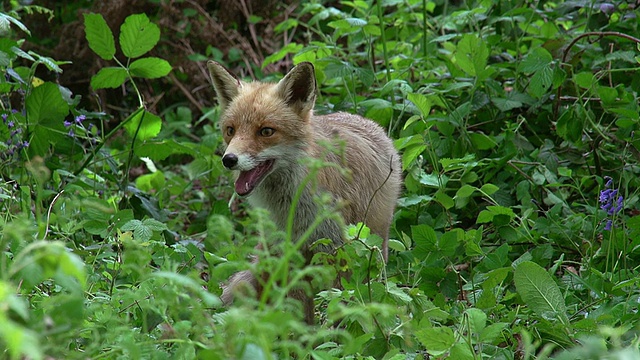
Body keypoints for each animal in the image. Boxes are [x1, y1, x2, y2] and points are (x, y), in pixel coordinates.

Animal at [209, 60, 400, 322]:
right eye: (231, 130)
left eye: (266, 131)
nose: (229, 160)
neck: (293, 209)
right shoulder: (289, 254)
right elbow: (297, 314)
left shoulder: (338, 252)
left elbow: (341, 306)